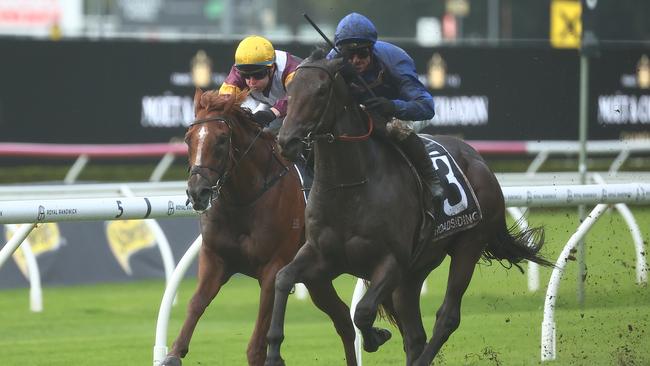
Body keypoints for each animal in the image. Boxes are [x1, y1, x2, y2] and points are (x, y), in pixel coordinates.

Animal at [160, 89, 356, 366]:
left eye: (222, 139)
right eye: (189, 139)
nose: (198, 192)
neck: (244, 199)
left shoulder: (273, 267)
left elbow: (258, 344)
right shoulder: (215, 258)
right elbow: (196, 303)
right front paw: (174, 354)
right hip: (316, 277)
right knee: (343, 318)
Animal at [260, 51, 548, 366]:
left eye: (321, 91)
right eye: (290, 90)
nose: (286, 141)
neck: (351, 186)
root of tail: (479, 160)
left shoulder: (392, 262)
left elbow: (363, 311)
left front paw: (376, 337)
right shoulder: (322, 255)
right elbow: (283, 279)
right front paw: (273, 352)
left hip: (468, 245)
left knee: (447, 317)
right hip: (416, 271)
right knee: (414, 334)